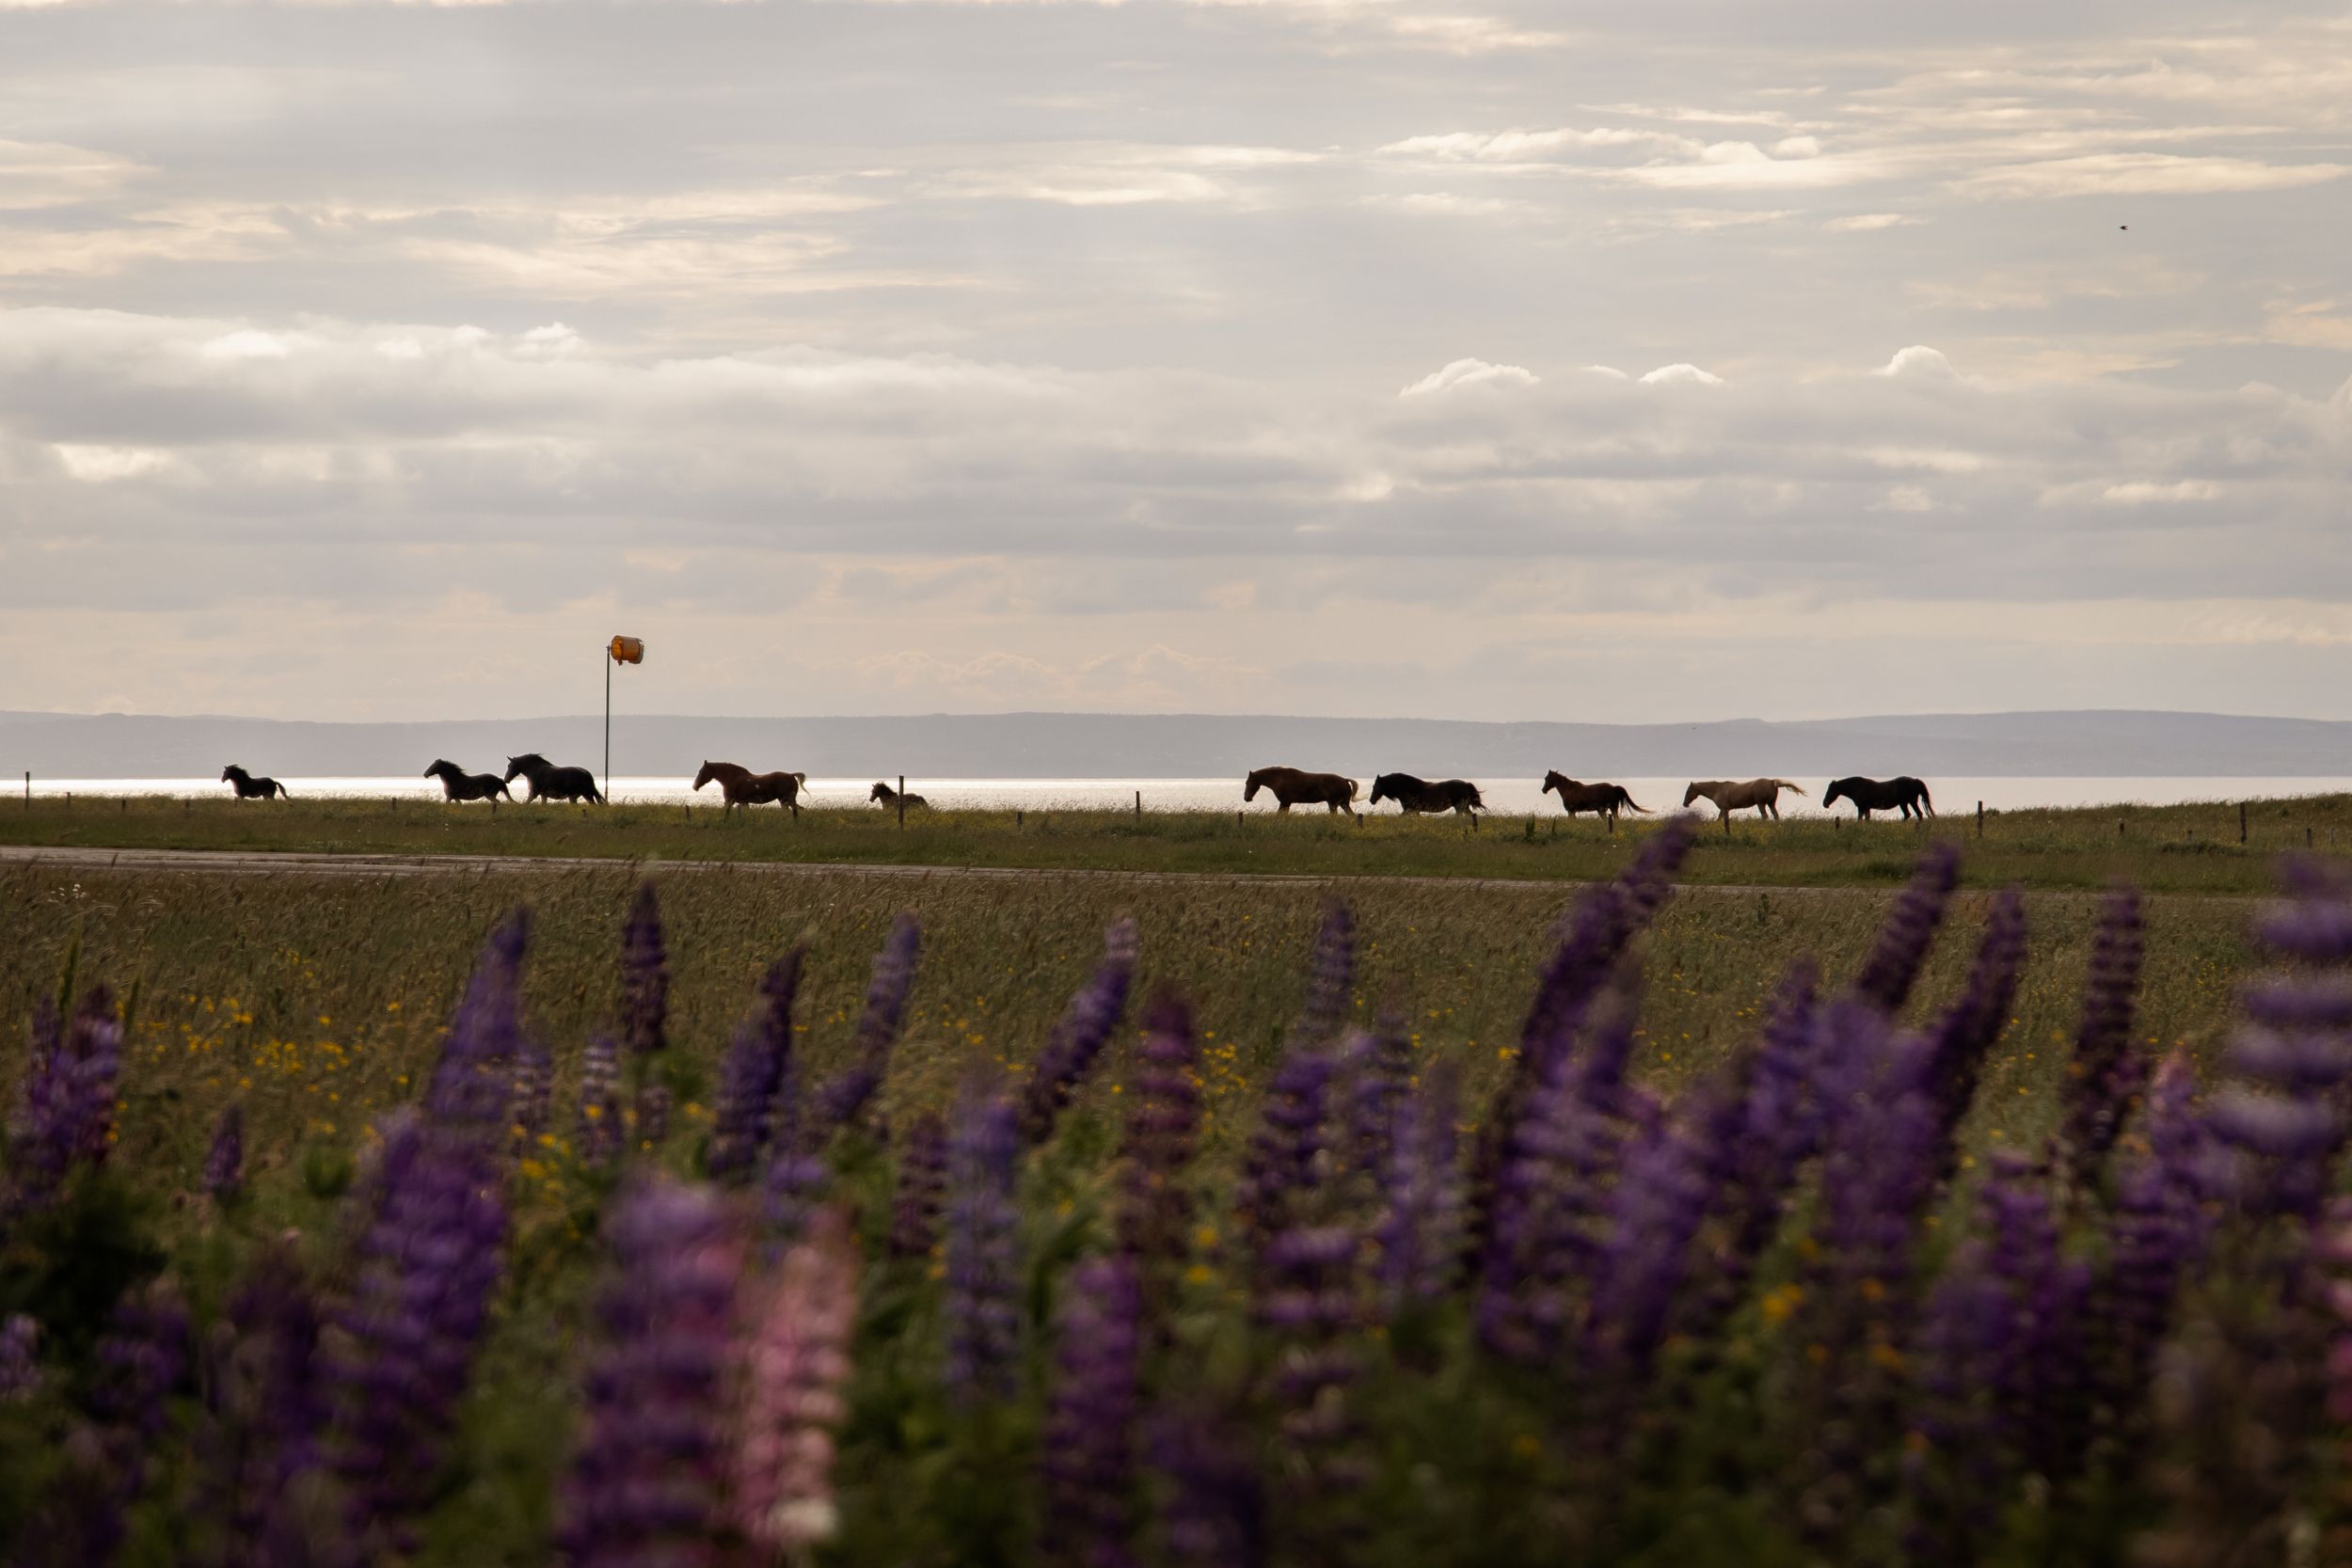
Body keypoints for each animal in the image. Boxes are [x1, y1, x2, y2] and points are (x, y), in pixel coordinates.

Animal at [1683, 779, 1806, 821]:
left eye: (1688, 791)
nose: (1685, 804)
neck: (1717, 790)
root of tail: (1772, 781)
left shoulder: (1724, 809)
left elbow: (1720, 819)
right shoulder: (1724, 810)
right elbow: (1719, 819)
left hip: (1761, 804)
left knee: (1765, 816)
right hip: (1771, 803)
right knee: (1775, 815)